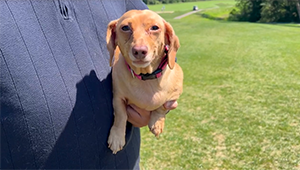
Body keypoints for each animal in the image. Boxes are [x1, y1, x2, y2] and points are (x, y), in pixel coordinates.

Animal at [106, 9, 184, 155]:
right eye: (125, 27)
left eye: (155, 27)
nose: (139, 51)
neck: (146, 76)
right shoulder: (118, 97)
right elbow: (120, 115)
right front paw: (117, 137)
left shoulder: (173, 96)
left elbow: (162, 107)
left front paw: (157, 122)